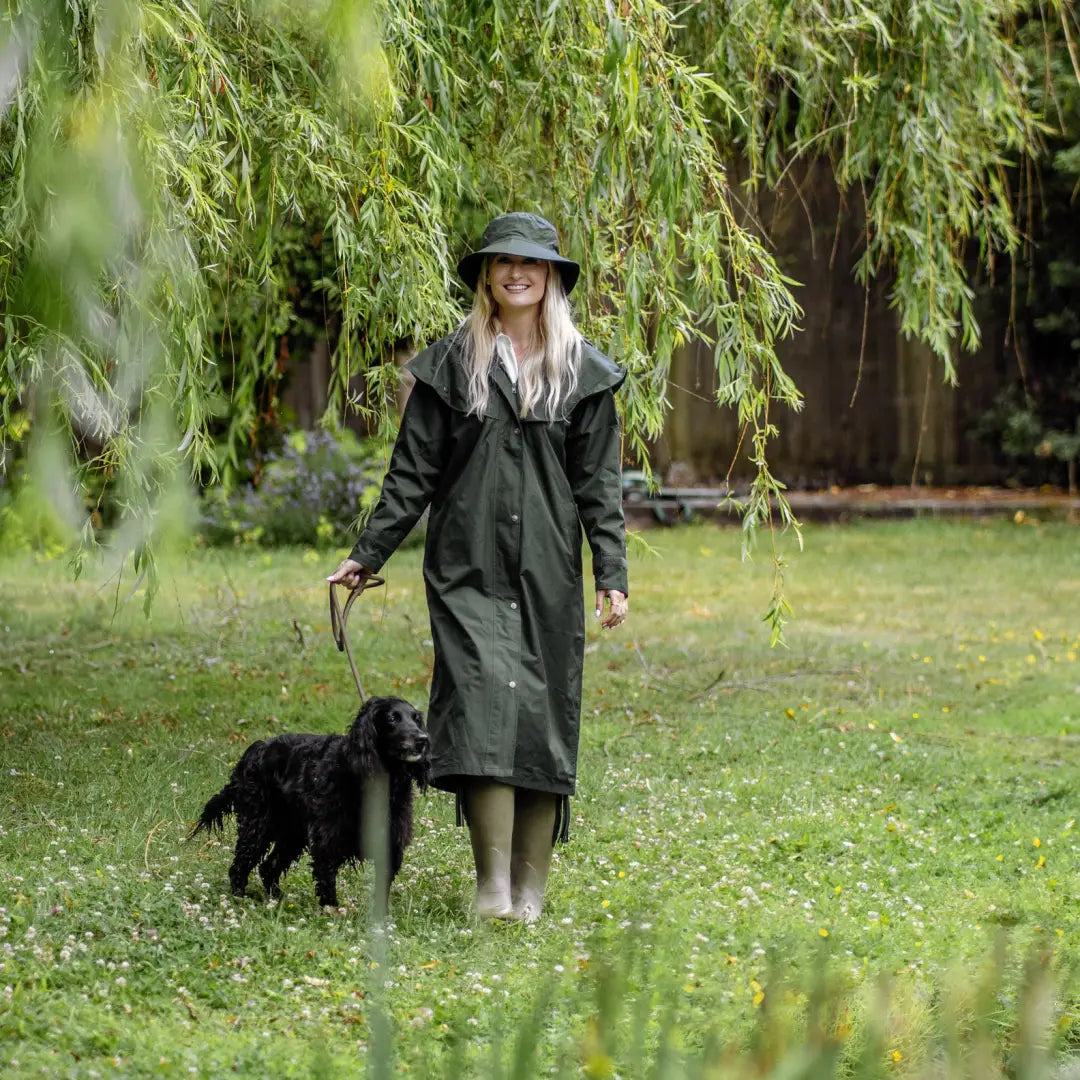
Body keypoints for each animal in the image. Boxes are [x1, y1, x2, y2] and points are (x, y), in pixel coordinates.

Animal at [192, 695, 427, 907]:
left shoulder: (391, 844)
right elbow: (326, 880)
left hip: (292, 833)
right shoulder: (328, 838)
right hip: (257, 825)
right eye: (392, 718)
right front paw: (333, 912)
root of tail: (255, 749)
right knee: (240, 865)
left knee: (268, 867)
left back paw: (277, 901)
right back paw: (239, 899)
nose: (422, 739)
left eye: (416, 719)